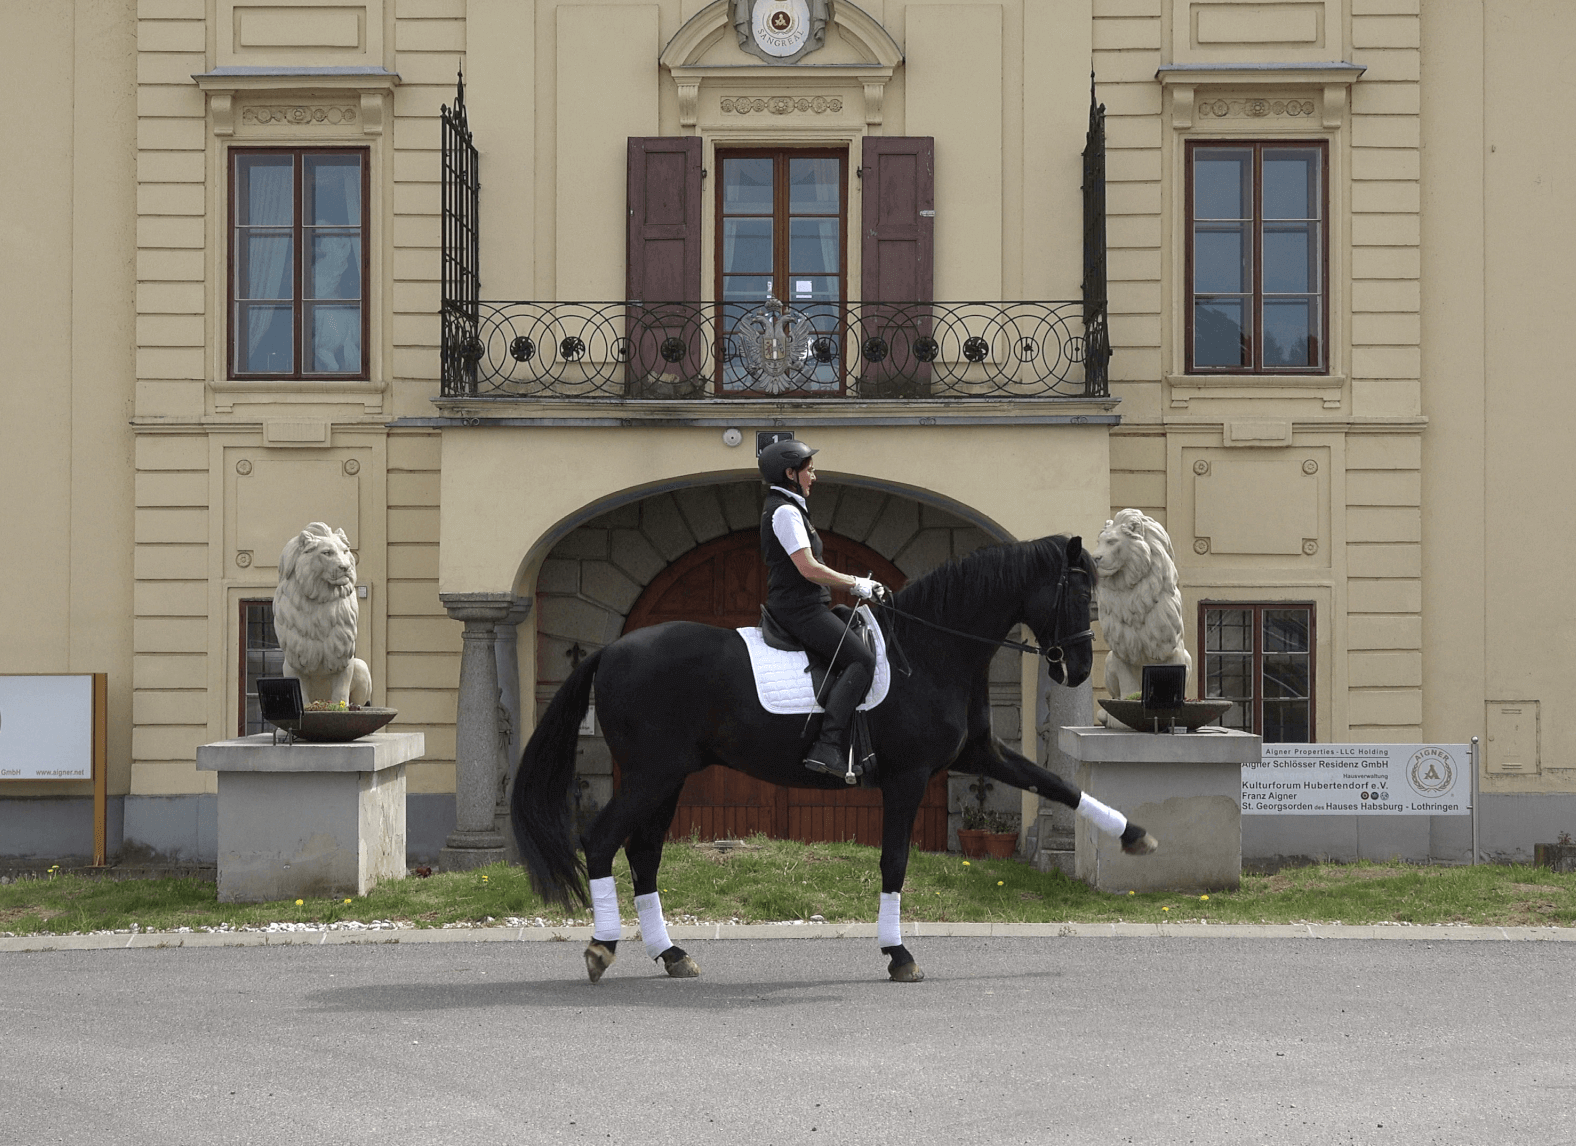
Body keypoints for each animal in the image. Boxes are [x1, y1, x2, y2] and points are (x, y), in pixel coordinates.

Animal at [513, 532, 1159, 983]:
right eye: (1080, 592)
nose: (1079, 669)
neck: (932, 647)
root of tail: (610, 651)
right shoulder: (908, 777)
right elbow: (895, 861)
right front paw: (899, 955)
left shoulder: (980, 755)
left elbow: (1058, 784)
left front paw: (1136, 835)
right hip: (652, 774)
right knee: (601, 841)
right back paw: (602, 947)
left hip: (668, 777)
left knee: (644, 855)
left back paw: (672, 955)